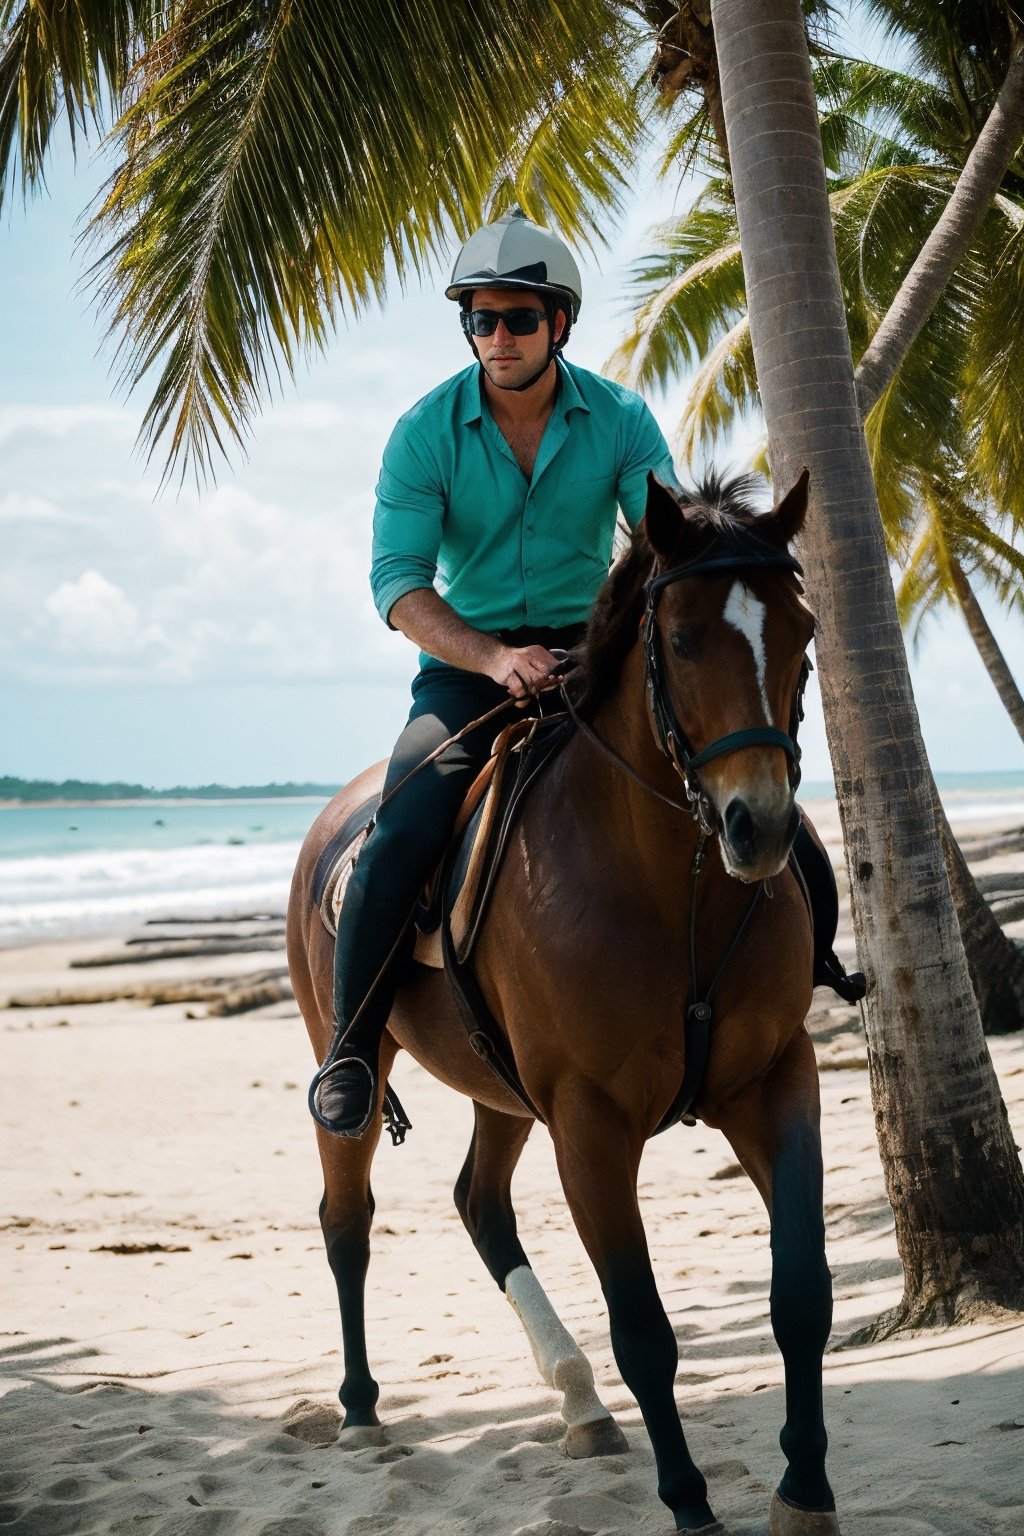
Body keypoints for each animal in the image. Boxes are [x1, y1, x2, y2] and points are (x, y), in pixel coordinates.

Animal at [287, 473, 841, 1529]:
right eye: (682, 639)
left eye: (803, 630)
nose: (758, 826)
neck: (673, 886)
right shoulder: (589, 1122)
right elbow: (646, 1332)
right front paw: (690, 1503)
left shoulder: (775, 1080)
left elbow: (802, 1295)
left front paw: (805, 1488)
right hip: (359, 1062)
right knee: (346, 1219)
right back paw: (361, 1408)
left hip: (502, 1091)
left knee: (479, 1202)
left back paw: (579, 1402)